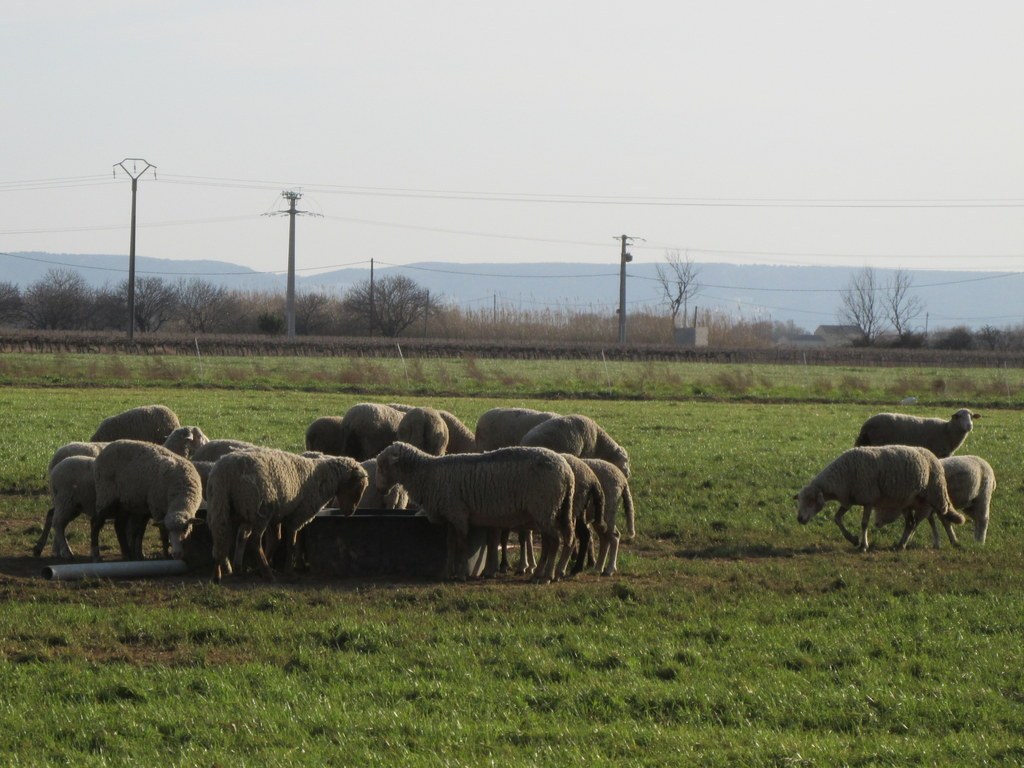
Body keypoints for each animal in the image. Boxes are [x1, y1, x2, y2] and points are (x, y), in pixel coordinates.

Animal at [206, 448, 368, 581]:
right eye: (358, 487)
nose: (350, 512)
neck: (323, 476)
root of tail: (225, 473)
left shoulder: (276, 516)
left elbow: (276, 540)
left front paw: (259, 569)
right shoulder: (297, 515)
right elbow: (291, 541)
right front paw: (288, 571)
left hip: (224, 506)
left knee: (223, 537)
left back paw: (219, 574)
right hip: (259, 510)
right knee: (254, 541)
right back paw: (267, 574)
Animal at [374, 442, 577, 585]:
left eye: (383, 466)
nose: (379, 490)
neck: (427, 474)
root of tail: (567, 473)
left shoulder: (459, 514)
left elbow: (462, 545)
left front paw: (461, 574)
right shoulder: (450, 516)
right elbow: (450, 545)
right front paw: (446, 573)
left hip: (544, 508)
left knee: (554, 541)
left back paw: (547, 576)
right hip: (556, 509)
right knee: (561, 540)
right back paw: (548, 573)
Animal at [790, 444, 958, 552]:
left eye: (810, 501)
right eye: (800, 501)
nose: (799, 519)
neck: (841, 476)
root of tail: (932, 455)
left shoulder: (868, 499)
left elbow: (864, 523)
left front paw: (863, 545)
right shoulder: (849, 500)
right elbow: (837, 518)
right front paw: (853, 539)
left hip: (936, 494)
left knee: (943, 517)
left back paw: (953, 541)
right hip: (908, 502)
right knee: (912, 523)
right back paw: (901, 544)